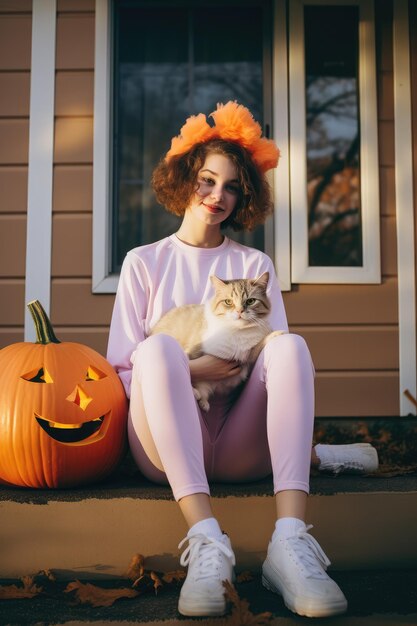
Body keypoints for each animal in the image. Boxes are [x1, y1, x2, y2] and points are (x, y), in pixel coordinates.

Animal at [150, 270, 286, 410]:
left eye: (250, 301)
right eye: (228, 302)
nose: (239, 311)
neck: (236, 331)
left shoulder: (247, 356)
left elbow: (261, 343)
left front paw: (277, 333)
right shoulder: (193, 350)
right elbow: (189, 367)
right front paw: (193, 391)